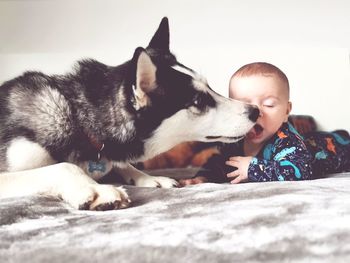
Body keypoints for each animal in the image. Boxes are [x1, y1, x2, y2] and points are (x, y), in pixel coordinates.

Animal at [0, 17, 258, 211]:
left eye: (209, 87)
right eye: (198, 101)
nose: (255, 111)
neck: (78, 117)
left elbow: (121, 163)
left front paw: (148, 177)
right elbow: (64, 167)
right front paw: (96, 189)